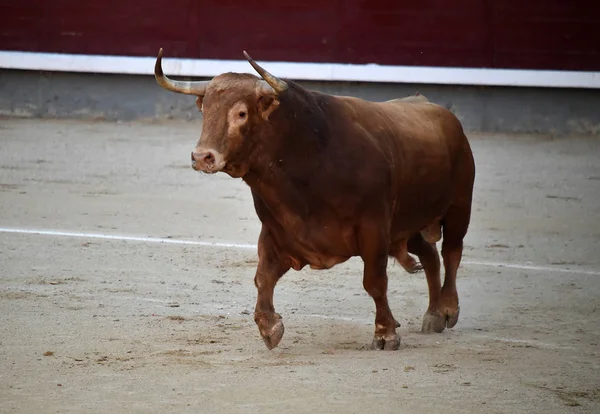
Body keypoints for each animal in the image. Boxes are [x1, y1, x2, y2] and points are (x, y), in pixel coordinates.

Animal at [157, 49, 476, 352]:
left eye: (242, 114)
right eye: (205, 110)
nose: (202, 157)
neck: (310, 156)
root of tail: (441, 112)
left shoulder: (374, 229)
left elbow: (374, 282)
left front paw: (386, 334)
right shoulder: (277, 232)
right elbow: (263, 277)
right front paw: (270, 328)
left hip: (459, 206)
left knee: (451, 251)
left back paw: (448, 309)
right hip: (406, 226)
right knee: (430, 254)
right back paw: (433, 314)